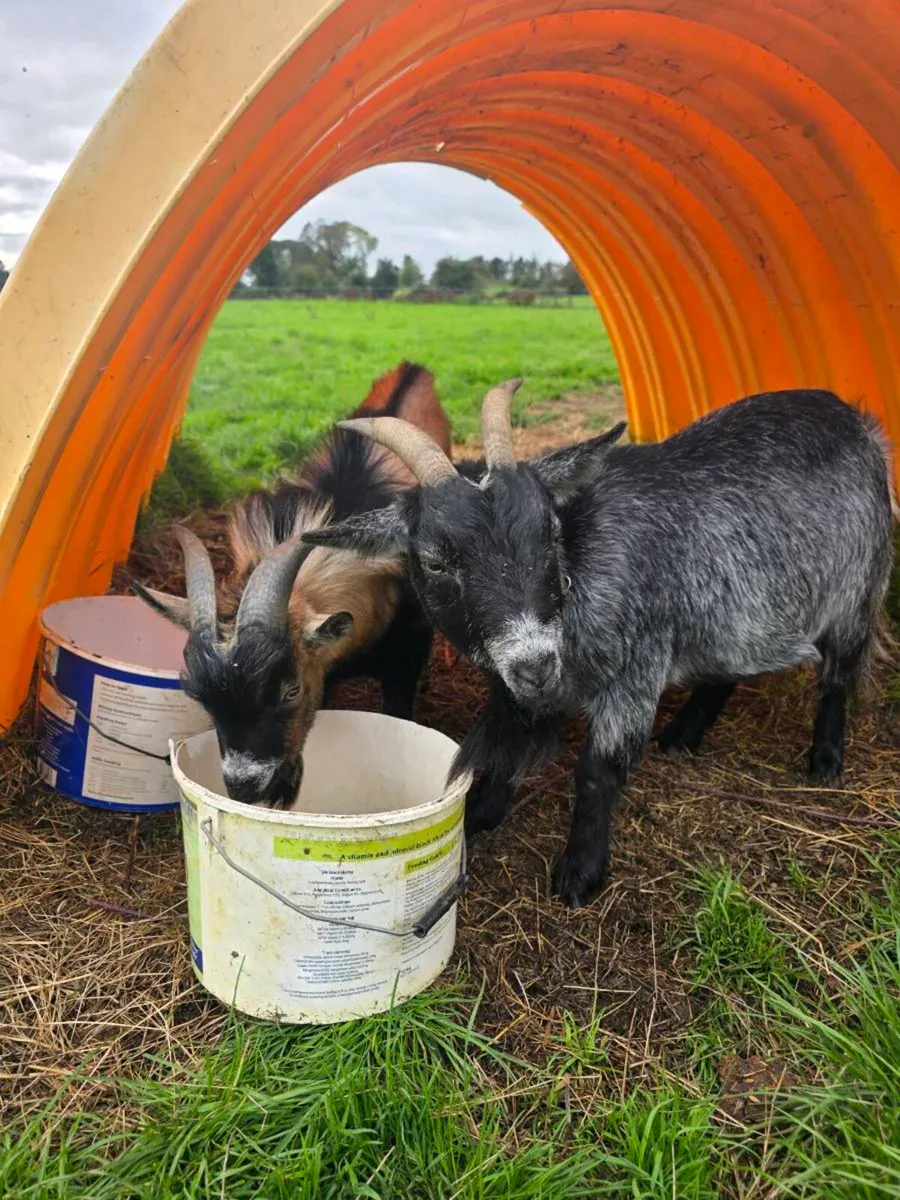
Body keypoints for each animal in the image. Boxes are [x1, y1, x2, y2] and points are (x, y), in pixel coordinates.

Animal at [302, 381, 896, 907]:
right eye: (433, 561)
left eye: (549, 531)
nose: (538, 664)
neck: (577, 585)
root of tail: (856, 420)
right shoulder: (511, 683)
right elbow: (506, 743)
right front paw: (483, 812)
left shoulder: (635, 673)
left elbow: (596, 773)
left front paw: (580, 873)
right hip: (743, 612)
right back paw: (684, 734)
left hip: (854, 591)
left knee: (838, 675)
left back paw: (825, 758)